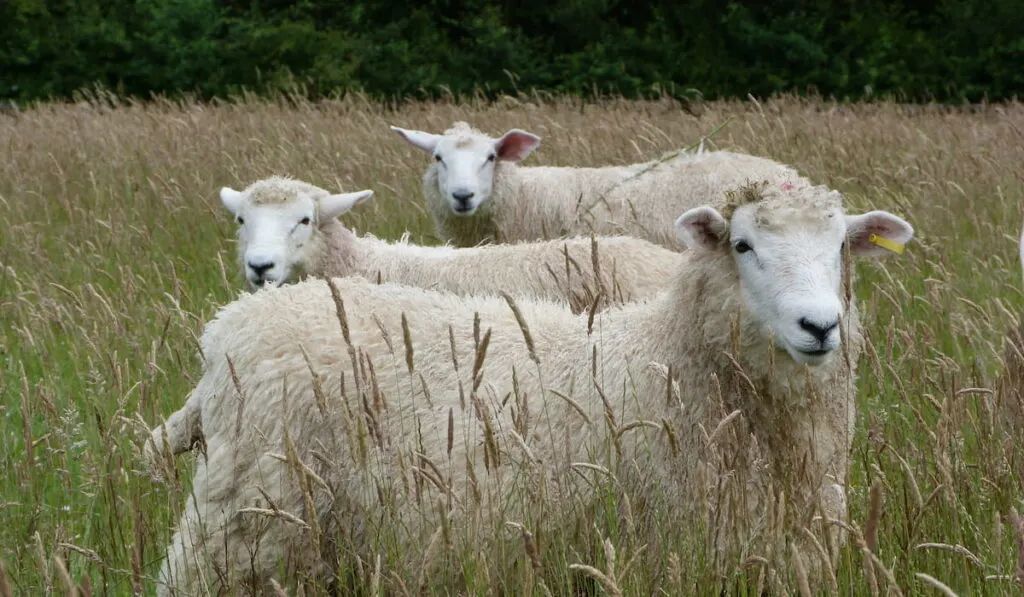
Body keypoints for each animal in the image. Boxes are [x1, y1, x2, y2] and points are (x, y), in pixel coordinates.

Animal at [146, 182, 913, 597]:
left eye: (839, 248)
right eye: (743, 245)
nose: (820, 325)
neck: (670, 357)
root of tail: (229, 330)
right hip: (234, 532)